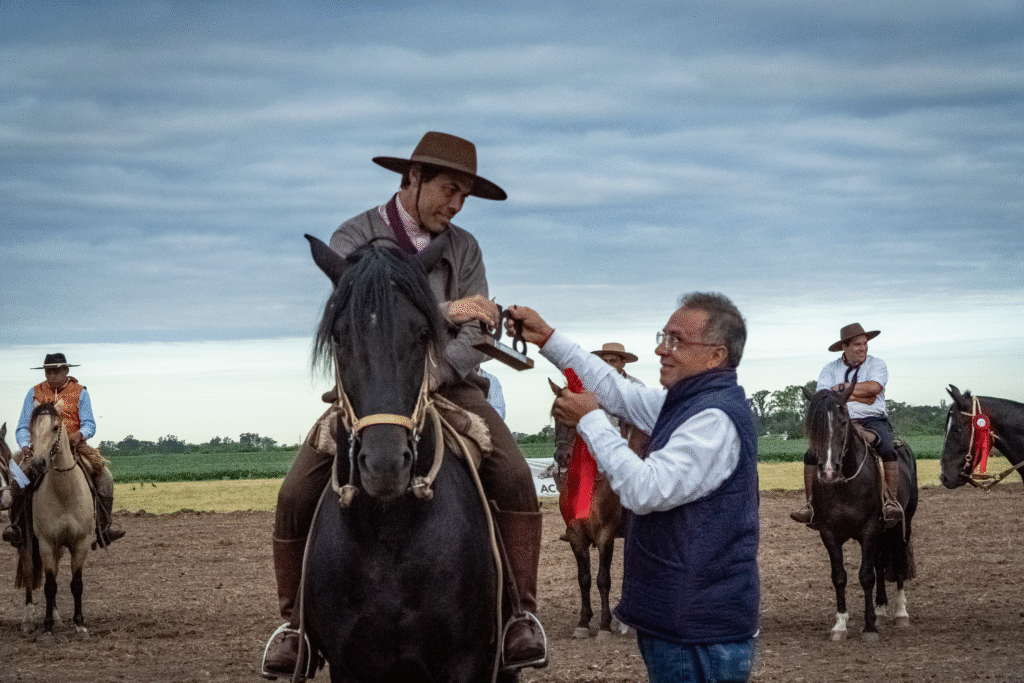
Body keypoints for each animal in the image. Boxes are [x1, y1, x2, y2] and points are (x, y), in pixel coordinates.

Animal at [21, 403, 97, 639]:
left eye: (55, 427)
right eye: (31, 428)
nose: (38, 463)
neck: (64, 492)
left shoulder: (80, 544)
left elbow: (76, 584)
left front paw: (80, 624)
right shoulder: (45, 544)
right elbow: (49, 586)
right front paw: (46, 628)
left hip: (60, 548)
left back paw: (57, 618)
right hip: (28, 544)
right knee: (29, 574)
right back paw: (28, 620)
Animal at [801, 385, 918, 642]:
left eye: (844, 422)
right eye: (814, 426)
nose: (828, 470)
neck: (845, 483)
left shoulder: (869, 529)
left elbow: (866, 575)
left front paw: (869, 627)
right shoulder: (829, 533)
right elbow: (839, 576)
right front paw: (840, 625)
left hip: (901, 524)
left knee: (898, 559)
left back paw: (900, 612)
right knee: (881, 562)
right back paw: (881, 609)